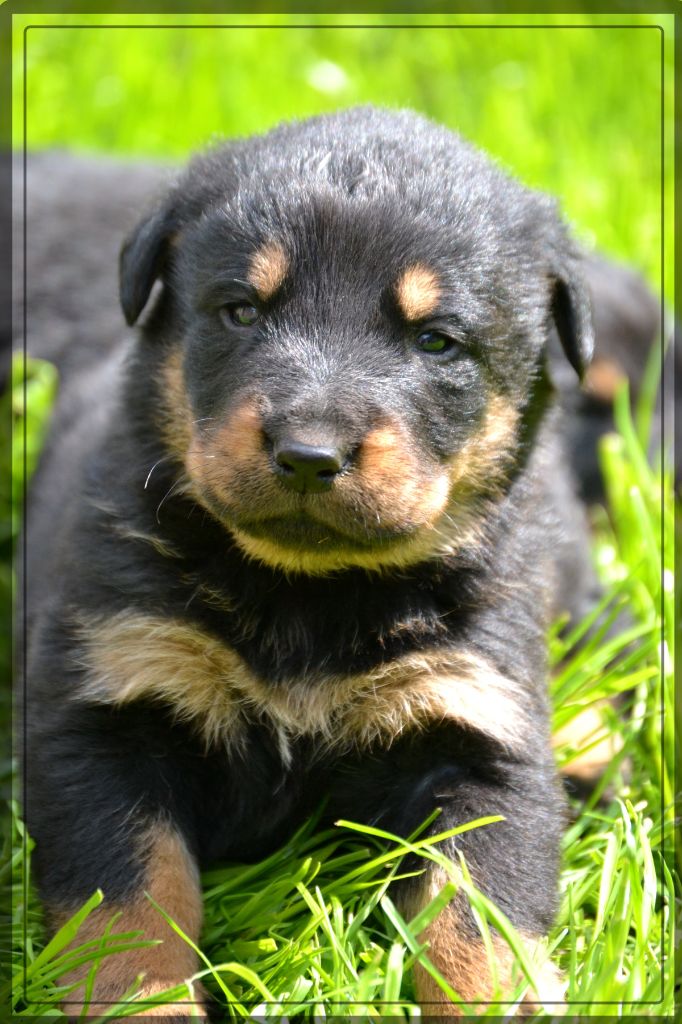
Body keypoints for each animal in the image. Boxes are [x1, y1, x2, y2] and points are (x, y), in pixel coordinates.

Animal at [22, 103, 606, 1015]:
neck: (305, 597)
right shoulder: (107, 702)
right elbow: (131, 908)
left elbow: (478, 922)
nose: (308, 454)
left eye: (437, 342)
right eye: (241, 311)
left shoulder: (476, 724)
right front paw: (149, 1004)